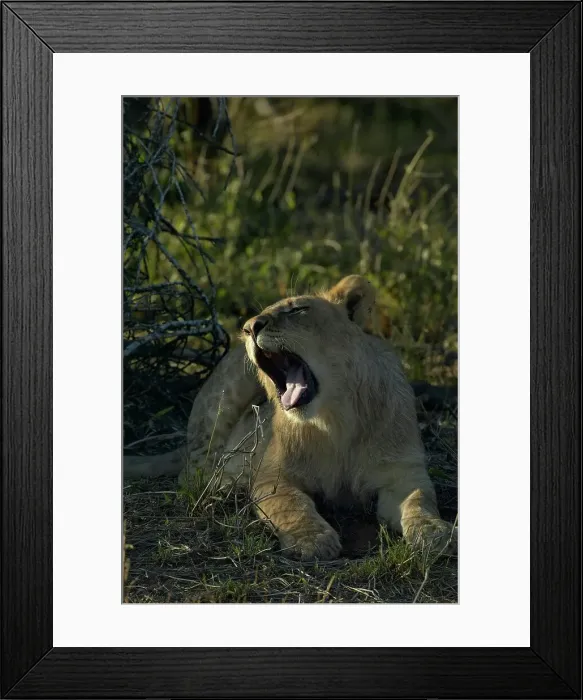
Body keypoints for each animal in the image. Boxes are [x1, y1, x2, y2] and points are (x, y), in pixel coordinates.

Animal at [124, 275, 457, 560]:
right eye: (254, 319)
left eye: (298, 309)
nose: (248, 327)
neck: (336, 421)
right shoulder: (272, 477)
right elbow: (291, 505)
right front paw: (311, 540)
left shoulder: (403, 472)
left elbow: (419, 500)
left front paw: (434, 532)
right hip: (228, 388)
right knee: (193, 468)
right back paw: (226, 486)